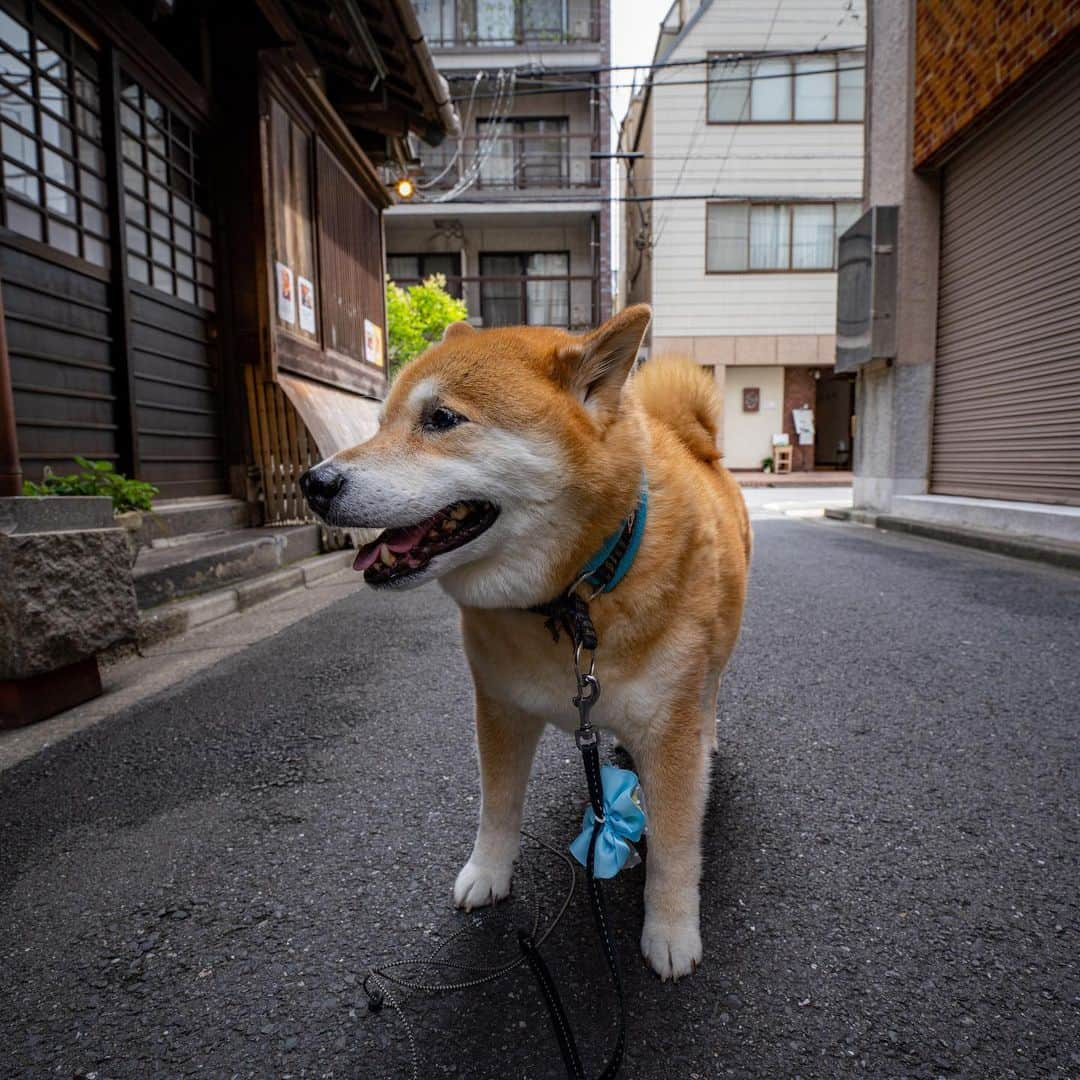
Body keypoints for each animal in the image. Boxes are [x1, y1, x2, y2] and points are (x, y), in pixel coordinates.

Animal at [300, 302, 747, 980]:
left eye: (441, 419)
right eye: (379, 425)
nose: (314, 482)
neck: (571, 600)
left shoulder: (670, 734)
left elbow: (674, 847)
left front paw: (670, 932)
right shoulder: (499, 708)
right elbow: (498, 806)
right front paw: (487, 874)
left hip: (714, 659)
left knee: (711, 690)